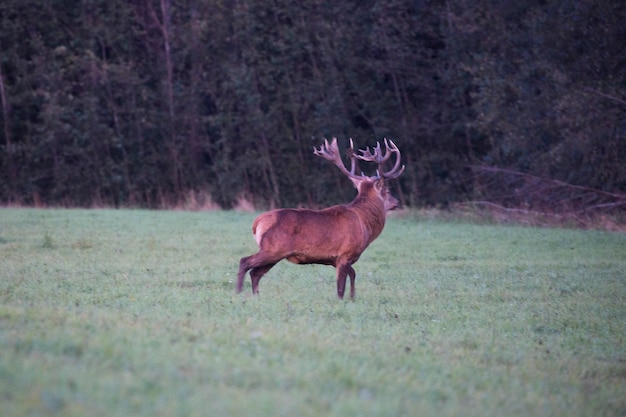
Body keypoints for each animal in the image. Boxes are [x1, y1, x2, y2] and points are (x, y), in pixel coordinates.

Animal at [235, 138, 404, 298]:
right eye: (387, 191)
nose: (397, 202)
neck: (365, 224)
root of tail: (257, 222)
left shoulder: (337, 259)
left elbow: (353, 274)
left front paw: (353, 297)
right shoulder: (345, 253)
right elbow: (340, 287)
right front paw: (342, 300)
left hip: (275, 253)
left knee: (255, 273)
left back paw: (256, 296)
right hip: (273, 248)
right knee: (245, 262)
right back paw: (238, 293)